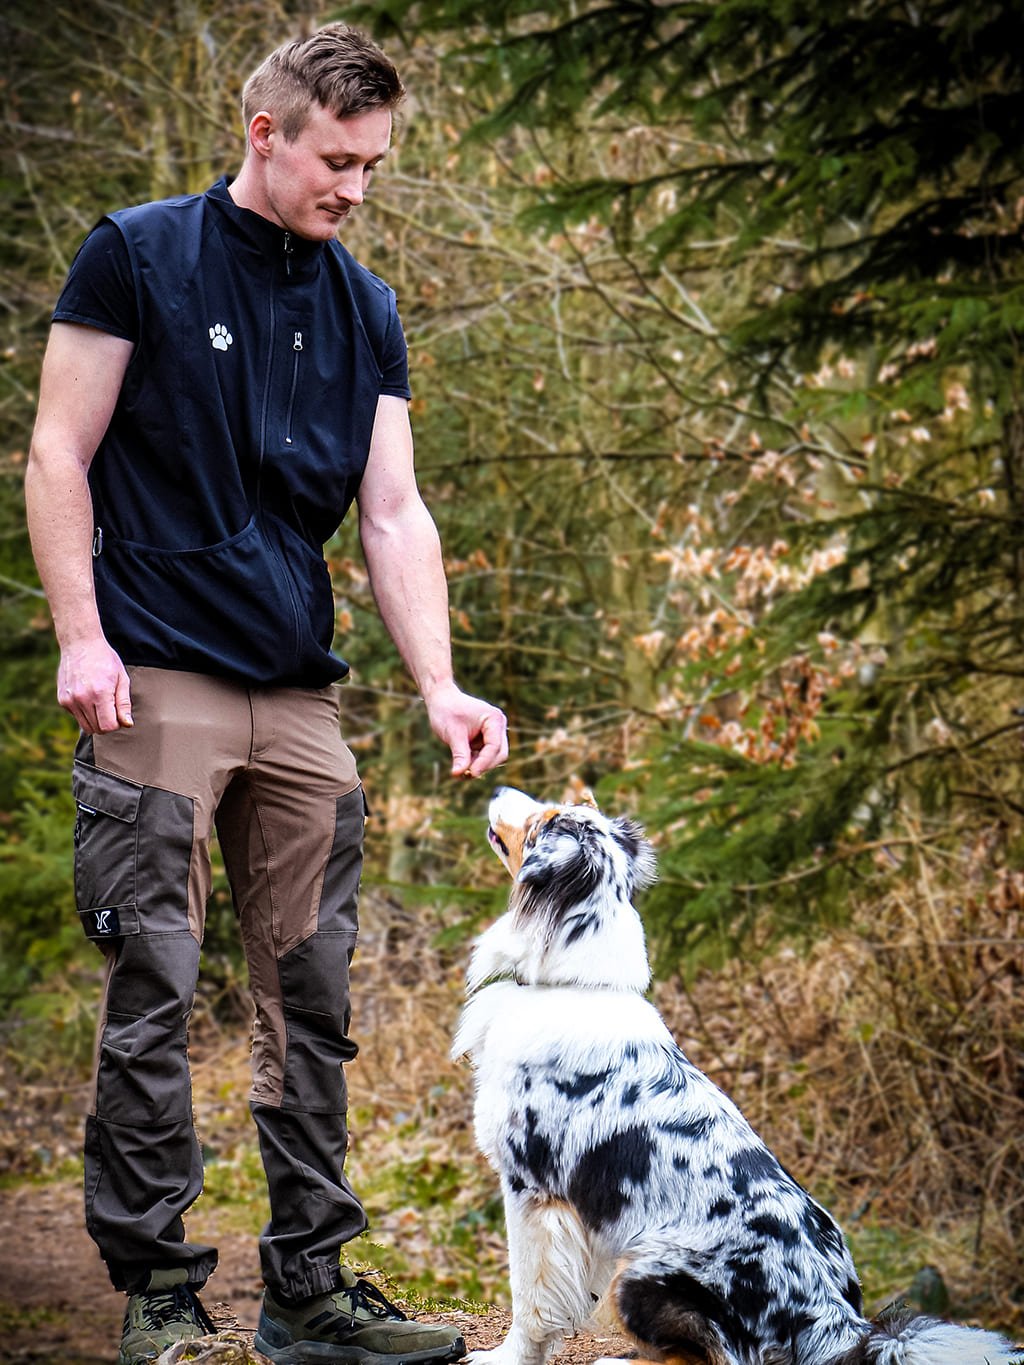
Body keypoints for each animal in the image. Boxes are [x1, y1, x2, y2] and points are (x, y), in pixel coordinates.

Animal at [453, 791, 1021, 1365]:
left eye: (544, 819)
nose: (498, 791)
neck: (572, 984)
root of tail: (833, 1323)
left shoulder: (531, 1190)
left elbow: (530, 1297)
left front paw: (507, 1357)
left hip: (639, 1272)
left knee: (706, 1357)